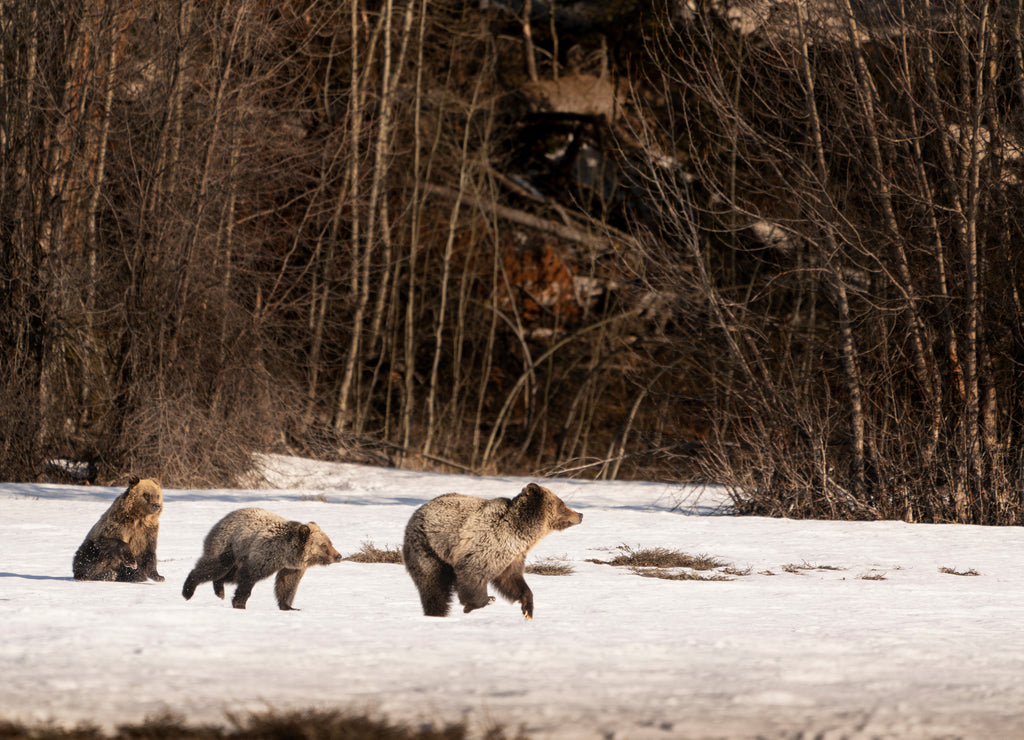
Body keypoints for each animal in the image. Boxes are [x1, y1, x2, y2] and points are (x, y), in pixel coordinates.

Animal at [181, 507, 343, 610]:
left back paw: (219, 590)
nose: (338, 555)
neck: (286, 554)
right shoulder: (265, 553)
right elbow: (249, 576)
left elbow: (287, 584)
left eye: (330, 542)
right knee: (215, 567)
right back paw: (188, 591)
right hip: (228, 545)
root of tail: (221, 520)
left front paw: (289, 606)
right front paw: (240, 603)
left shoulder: (292, 567)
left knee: (229, 575)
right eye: (324, 545)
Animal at [402, 482, 582, 620]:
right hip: (428, 546)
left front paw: (527, 609)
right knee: (433, 584)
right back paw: (436, 612)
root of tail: (417, 511)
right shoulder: (487, 545)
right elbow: (473, 574)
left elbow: (512, 580)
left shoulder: (513, 555)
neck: (521, 532)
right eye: (562, 504)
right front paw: (483, 601)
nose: (580, 514)